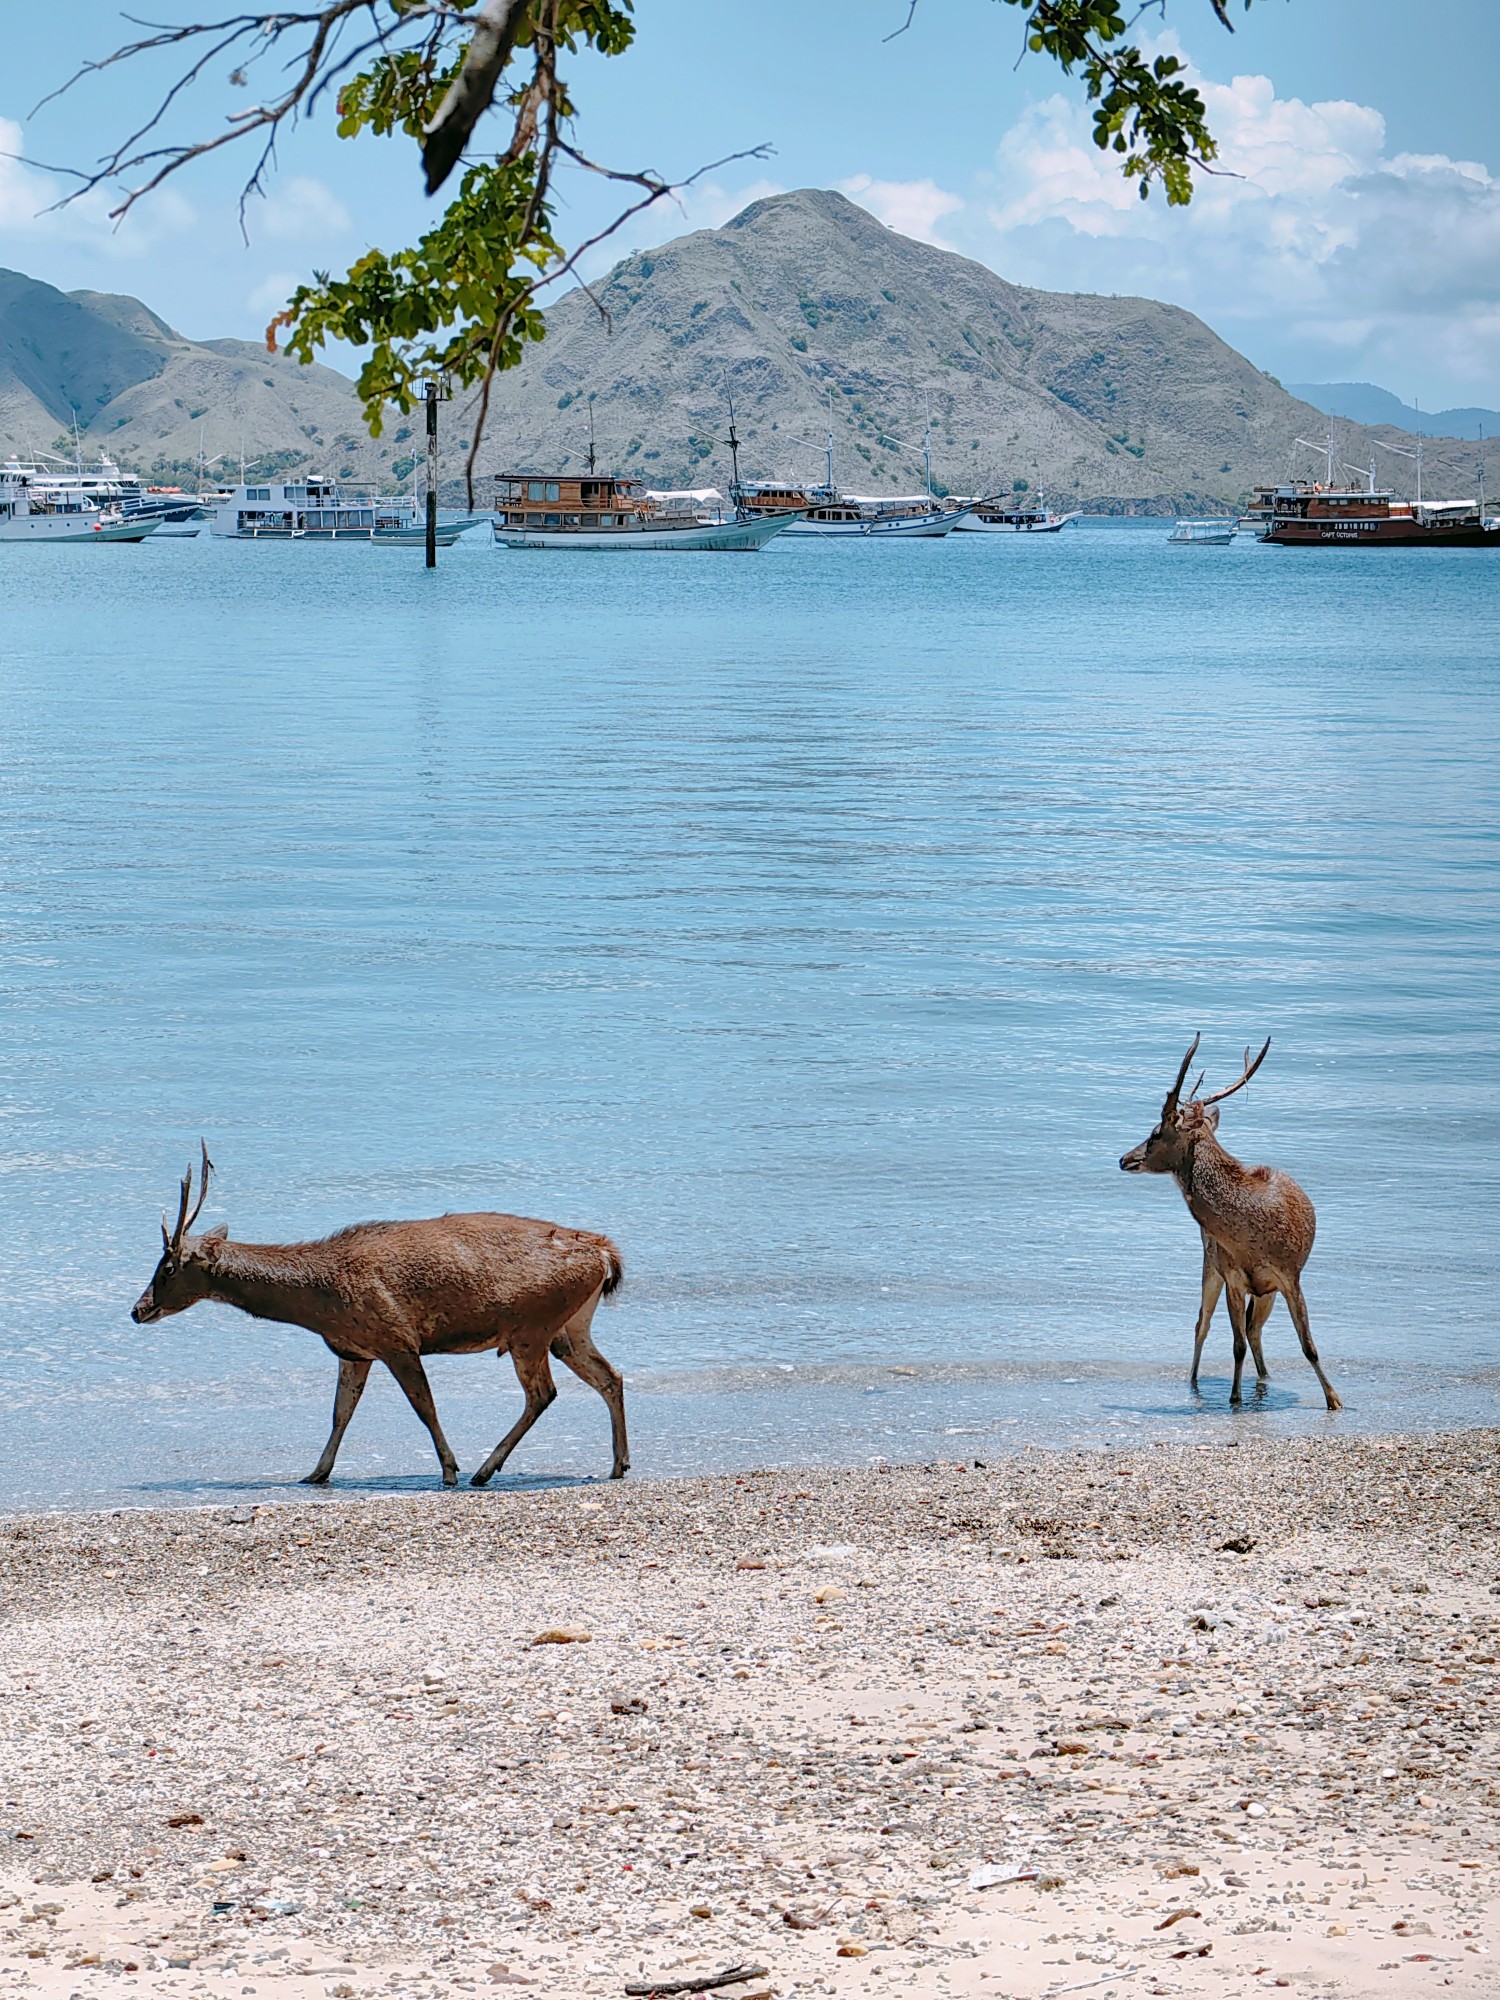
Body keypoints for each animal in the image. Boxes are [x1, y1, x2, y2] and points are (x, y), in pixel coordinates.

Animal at [129, 1160, 636, 1488]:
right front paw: (316, 1473)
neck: (321, 1299)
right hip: (570, 1327)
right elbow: (340, 1412)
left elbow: (424, 1405)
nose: (138, 1309)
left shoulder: (395, 1337)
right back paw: (619, 1464)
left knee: (543, 1393)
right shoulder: (355, 1349)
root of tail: (606, 1254)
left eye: (168, 1267)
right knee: (610, 1376)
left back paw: (483, 1470)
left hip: (531, 1325)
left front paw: (448, 1470)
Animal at [1120, 1040, 1344, 1416]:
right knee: (1204, 1324)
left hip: (1265, 1290)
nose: (1124, 1158)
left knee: (1254, 1331)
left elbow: (1308, 1344)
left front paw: (1334, 1399)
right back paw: (1195, 1381)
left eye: (1154, 1134)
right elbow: (1235, 1344)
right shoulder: (1233, 1276)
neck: (1249, 1236)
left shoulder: (1290, 1275)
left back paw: (1264, 1378)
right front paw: (1235, 1399)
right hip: (1211, 1265)